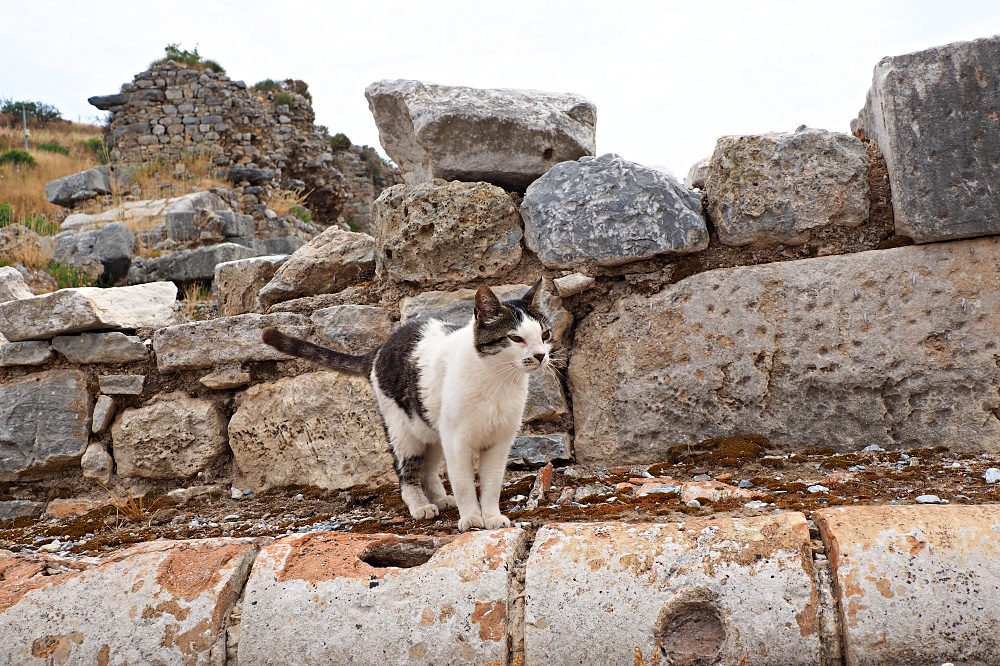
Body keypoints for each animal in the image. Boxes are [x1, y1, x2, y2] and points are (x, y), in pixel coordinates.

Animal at [260, 278, 556, 532]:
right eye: (515, 338)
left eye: (545, 334)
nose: (541, 355)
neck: (498, 381)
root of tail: (380, 349)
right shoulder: (457, 439)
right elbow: (463, 483)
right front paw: (472, 518)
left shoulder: (499, 441)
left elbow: (492, 483)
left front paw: (492, 517)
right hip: (403, 430)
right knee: (407, 471)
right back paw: (421, 505)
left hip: (429, 429)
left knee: (428, 468)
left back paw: (440, 499)